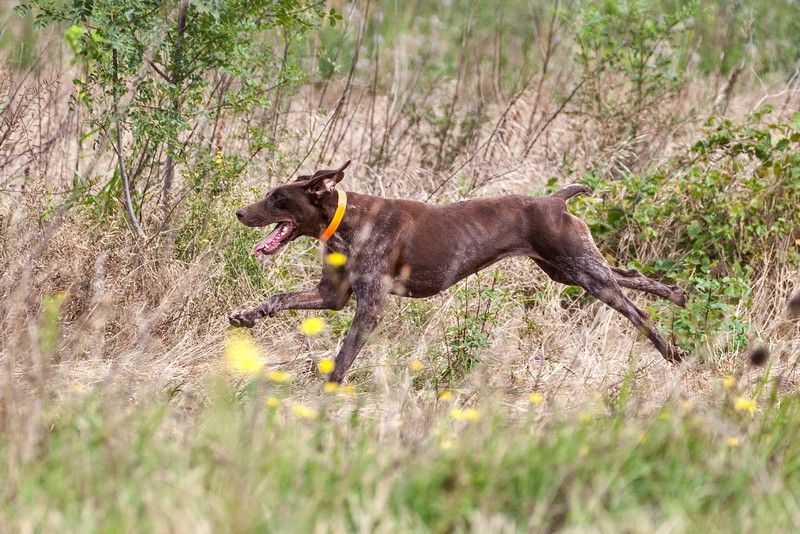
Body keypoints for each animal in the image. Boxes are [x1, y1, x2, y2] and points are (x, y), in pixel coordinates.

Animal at [230, 161, 688, 384]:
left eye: (277, 199)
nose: (239, 213)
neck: (348, 218)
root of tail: (555, 200)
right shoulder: (333, 296)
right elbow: (279, 299)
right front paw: (248, 315)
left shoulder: (370, 307)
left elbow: (345, 352)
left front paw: (329, 388)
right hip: (569, 271)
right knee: (631, 275)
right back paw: (677, 294)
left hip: (585, 274)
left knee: (636, 310)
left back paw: (672, 351)